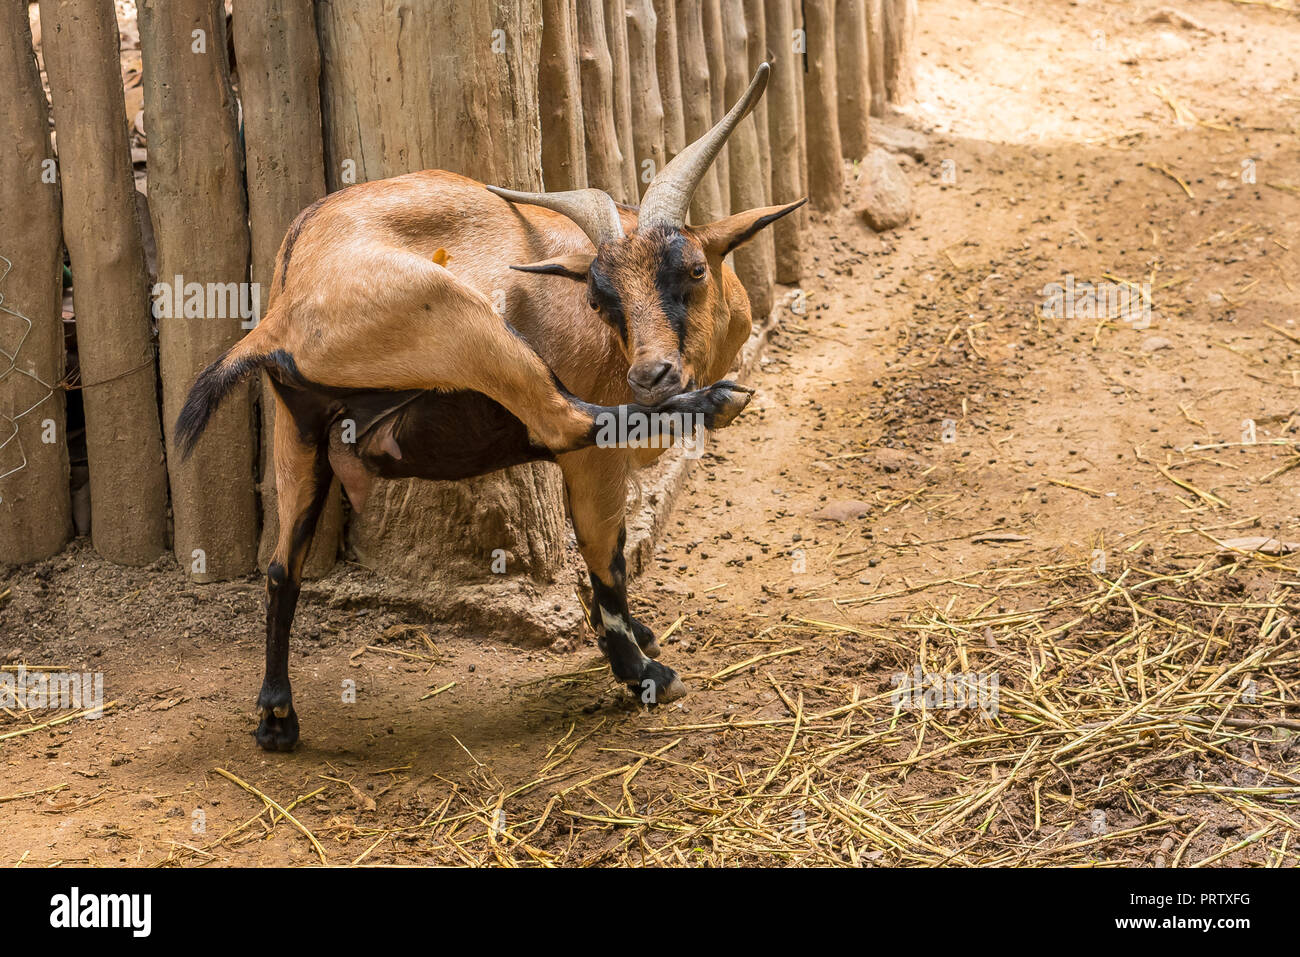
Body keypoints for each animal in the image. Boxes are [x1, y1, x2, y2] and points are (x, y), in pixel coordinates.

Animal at [176, 64, 803, 750]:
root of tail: (285, 305)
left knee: (280, 567)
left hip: (300, 437)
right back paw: (717, 404)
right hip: (467, 324)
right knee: (565, 418)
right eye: (598, 299)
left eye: (692, 269)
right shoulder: (594, 465)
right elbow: (605, 557)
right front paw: (641, 669)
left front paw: (638, 638)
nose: (652, 376)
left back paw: (277, 718)